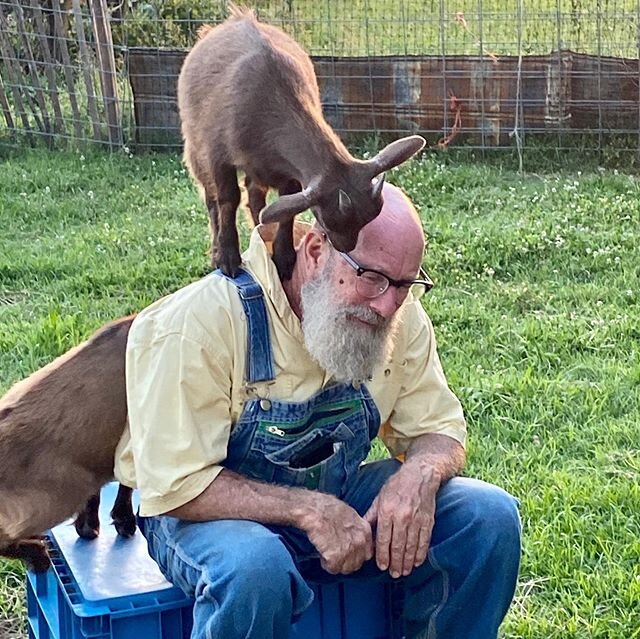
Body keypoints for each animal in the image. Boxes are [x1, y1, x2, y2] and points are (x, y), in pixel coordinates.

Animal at [178, 5, 424, 280]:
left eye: (367, 219)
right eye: (326, 220)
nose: (345, 246)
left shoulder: (290, 172)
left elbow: (287, 207)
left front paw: (284, 257)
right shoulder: (218, 154)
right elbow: (227, 199)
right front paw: (228, 257)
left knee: (254, 193)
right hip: (195, 143)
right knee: (211, 197)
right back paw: (217, 248)